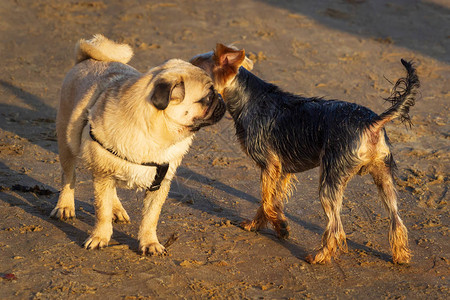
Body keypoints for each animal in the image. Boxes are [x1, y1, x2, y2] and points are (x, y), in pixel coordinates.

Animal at [51, 35, 225, 255]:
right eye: (208, 97)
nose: (220, 97)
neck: (155, 134)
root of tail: (88, 58)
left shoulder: (160, 184)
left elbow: (150, 218)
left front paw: (149, 242)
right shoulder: (102, 174)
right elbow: (101, 211)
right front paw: (100, 237)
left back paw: (117, 209)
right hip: (67, 143)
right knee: (69, 176)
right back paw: (65, 206)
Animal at [192, 43, 420, 264]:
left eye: (196, 67)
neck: (247, 97)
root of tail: (372, 122)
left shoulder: (269, 164)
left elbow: (266, 201)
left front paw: (280, 226)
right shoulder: (282, 170)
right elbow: (272, 200)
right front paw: (262, 224)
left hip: (330, 177)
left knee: (335, 227)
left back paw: (319, 257)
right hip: (384, 176)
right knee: (396, 219)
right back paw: (401, 257)